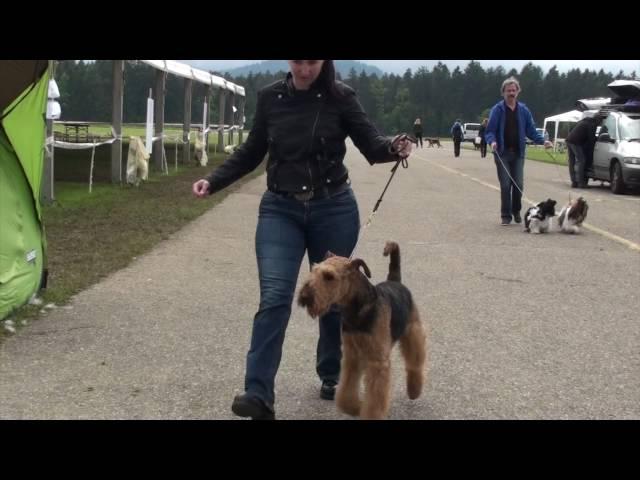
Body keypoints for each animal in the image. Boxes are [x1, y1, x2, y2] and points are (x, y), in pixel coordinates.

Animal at [298, 242, 428, 418]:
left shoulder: (378, 361)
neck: (358, 310)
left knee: (415, 363)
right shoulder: (352, 356)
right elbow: (346, 390)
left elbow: (375, 400)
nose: (305, 296)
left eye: (329, 276)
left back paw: (414, 390)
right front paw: (354, 408)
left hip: (412, 330)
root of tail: (395, 281)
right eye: (314, 270)